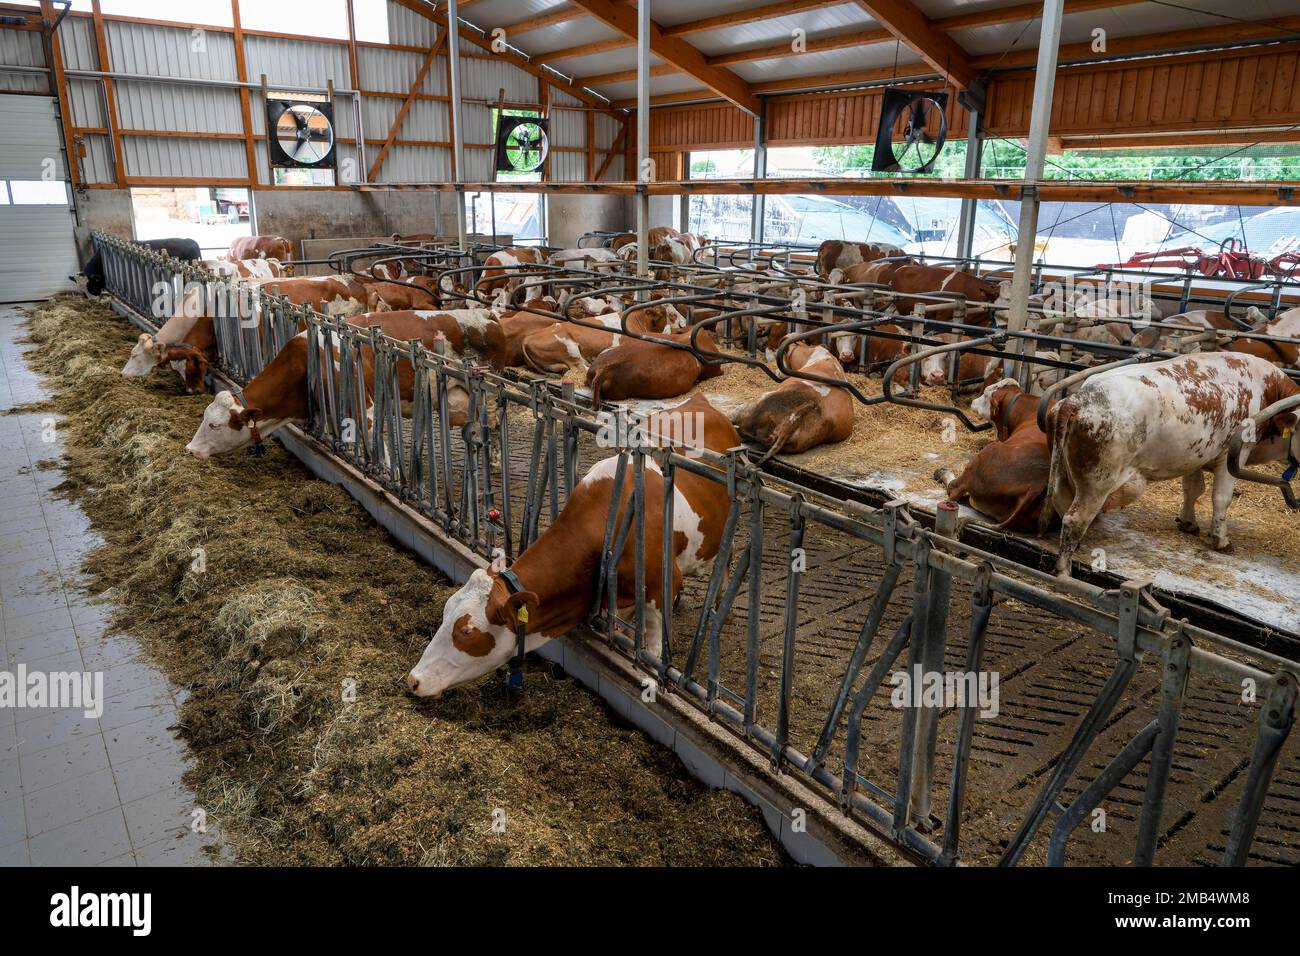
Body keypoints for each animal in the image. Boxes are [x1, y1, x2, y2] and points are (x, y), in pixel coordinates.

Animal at [405, 390, 743, 697]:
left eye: (466, 631)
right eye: (446, 610)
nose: (414, 680)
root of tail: (700, 400)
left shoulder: (660, 588)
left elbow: (653, 648)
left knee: (728, 556)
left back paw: (717, 605)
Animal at [935, 379, 1055, 530]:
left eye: (986, 394)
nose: (973, 401)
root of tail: (1036, 485)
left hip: (983, 457)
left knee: (954, 490)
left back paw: (942, 472)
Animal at [1040, 353, 1300, 572]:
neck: (1266, 387)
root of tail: (1076, 400)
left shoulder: (1194, 455)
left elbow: (1193, 489)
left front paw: (1188, 522)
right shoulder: (1233, 454)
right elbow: (1221, 498)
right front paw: (1221, 539)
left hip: (1064, 473)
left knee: (1059, 503)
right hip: (1097, 483)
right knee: (1074, 519)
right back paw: (1064, 570)